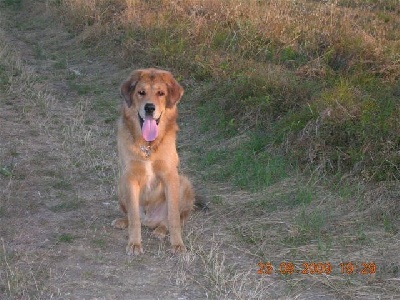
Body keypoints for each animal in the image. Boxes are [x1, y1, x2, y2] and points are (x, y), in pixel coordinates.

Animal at [111, 68, 195, 255]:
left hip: (183, 182)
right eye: (141, 92)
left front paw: (177, 244)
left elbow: (173, 217)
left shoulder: (170, 175)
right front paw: (134, 243)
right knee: (132, 215)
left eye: (161, 93)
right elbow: (134, 216)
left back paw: (161, 230)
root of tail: (149, 220)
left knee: (173, 218)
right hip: (120, 183)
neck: (148, 147)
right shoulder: (130, 176)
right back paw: (122, 221)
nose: (149, 108)